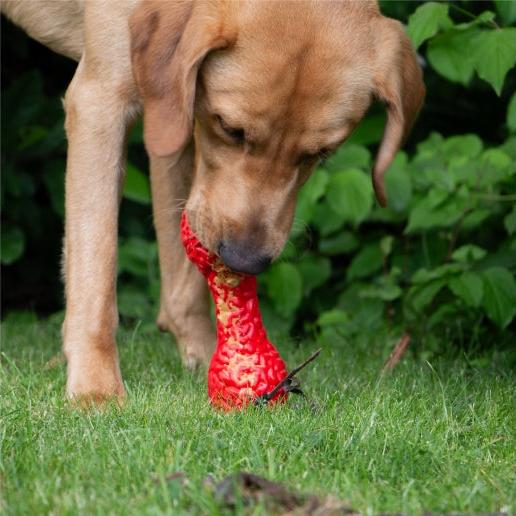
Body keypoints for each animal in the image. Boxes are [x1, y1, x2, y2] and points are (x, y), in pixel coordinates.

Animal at [2, 0, 426, 404]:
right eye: (231, 128)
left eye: (320, 153)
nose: (245, 260)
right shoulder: (102, 99)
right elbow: (97, 267)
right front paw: (96, 388)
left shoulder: (172, 112)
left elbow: (183, 278)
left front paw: (210, 358)